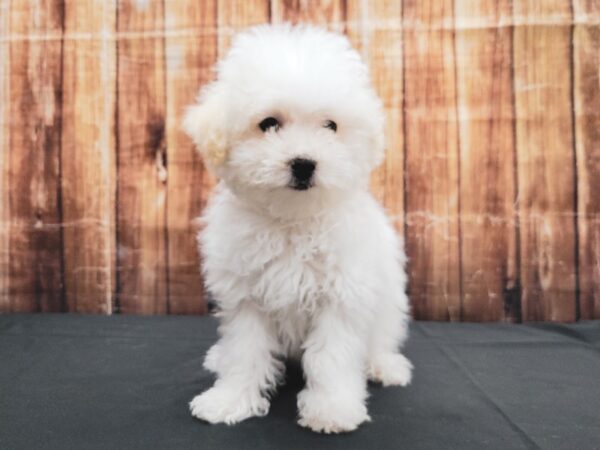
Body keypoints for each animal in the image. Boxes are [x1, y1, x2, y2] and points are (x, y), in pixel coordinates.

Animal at [182, 23, 412, 432]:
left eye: (331, 126)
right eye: (269, 124)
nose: (304, 163)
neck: (292, 220)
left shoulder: (341, 295)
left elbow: (331, 356)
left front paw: (332, 408)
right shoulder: (245, 297)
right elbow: (244, 351)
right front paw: (229, 399)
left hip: (389, 304)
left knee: (382, 337)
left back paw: (385, 365)